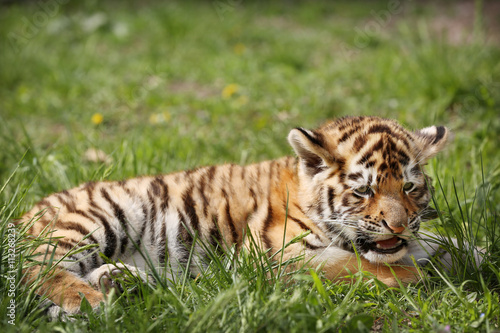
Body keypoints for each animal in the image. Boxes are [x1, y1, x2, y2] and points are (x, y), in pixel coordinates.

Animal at [23, 116, 458, 314]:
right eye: (364, 190)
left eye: (409, 187)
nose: (397, 225)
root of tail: (23, 214)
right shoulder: (277, 256)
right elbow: (359, 266)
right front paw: (424, 276)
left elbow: (438, 244)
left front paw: (458, 257)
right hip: (98, 217)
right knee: (35, 268)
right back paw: (89, 300)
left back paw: (119, 283)